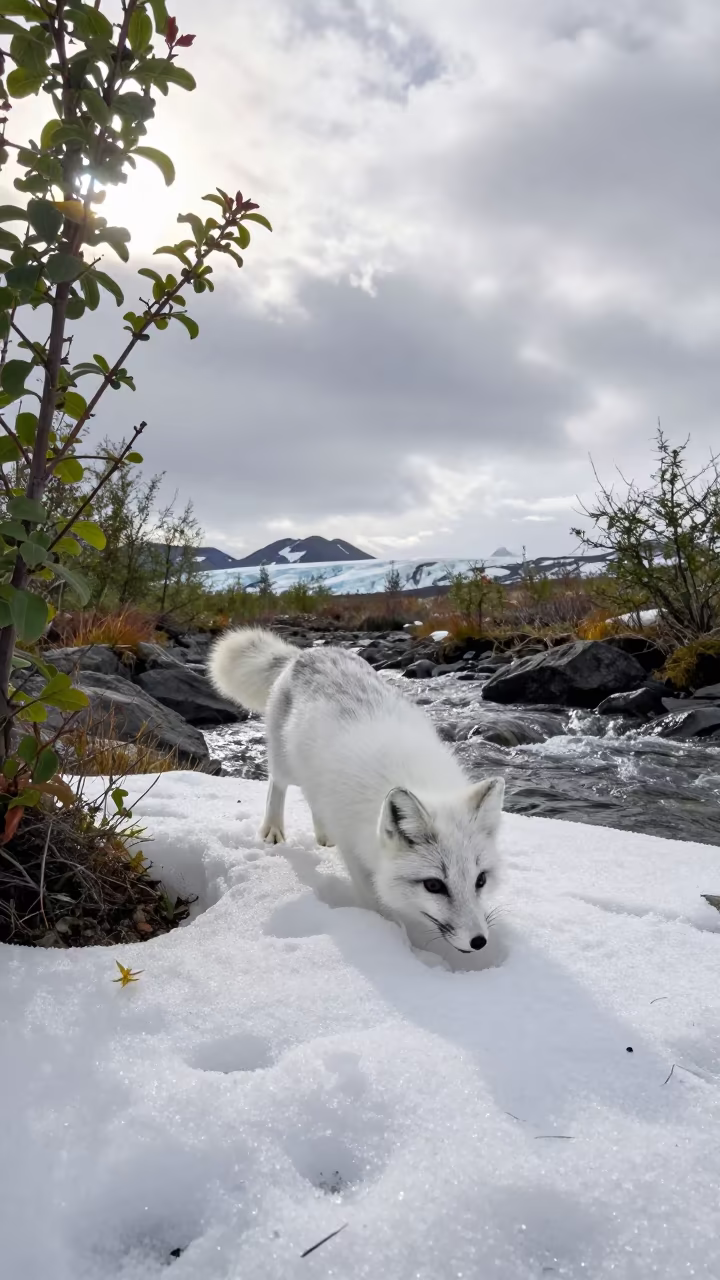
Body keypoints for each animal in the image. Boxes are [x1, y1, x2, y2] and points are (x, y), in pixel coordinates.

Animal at [209, 627, 505, 958]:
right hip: (286, 764)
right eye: (434, 885)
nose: (479, 942)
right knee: (276, 783)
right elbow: (376, 903)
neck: (417, 779)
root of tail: (306, 652)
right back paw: (273, 829)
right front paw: (397, 945)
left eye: (481, 880)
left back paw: (324, 836)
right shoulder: (355, 851)